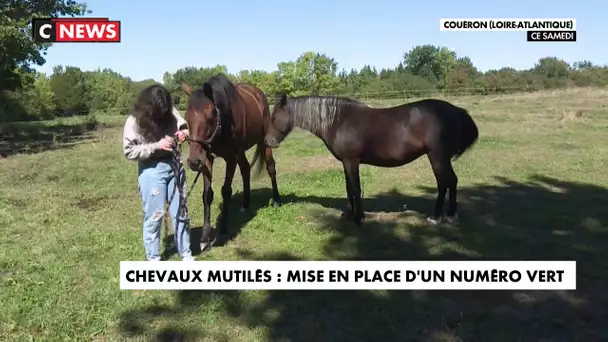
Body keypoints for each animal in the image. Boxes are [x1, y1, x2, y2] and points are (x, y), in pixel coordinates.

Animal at [180, 75, 282, 251]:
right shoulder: (207, 158)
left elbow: (226, 191)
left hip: (264, 142)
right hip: (240, 151)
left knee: (271, 167)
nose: (193, 162)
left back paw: (276, 199)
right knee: (246, 169)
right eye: (187, 119)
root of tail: (257, 92)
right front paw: (205, 237)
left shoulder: (230, 158)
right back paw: (245, 205)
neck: (224, 123)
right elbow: (207, 194)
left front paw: (223, 230)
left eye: (209, 118)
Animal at [264, 95, 478, 226]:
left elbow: (355, 188)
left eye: (274, 118)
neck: (339, 121)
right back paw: (450, 215)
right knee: (452, 181)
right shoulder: (346, 162)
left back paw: (436, 217)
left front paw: (359, 218)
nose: (268, 141)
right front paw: (348, 215)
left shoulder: (352, 161)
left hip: (437, 156)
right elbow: (349, 188)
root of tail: (457, 111)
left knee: (444, 182)